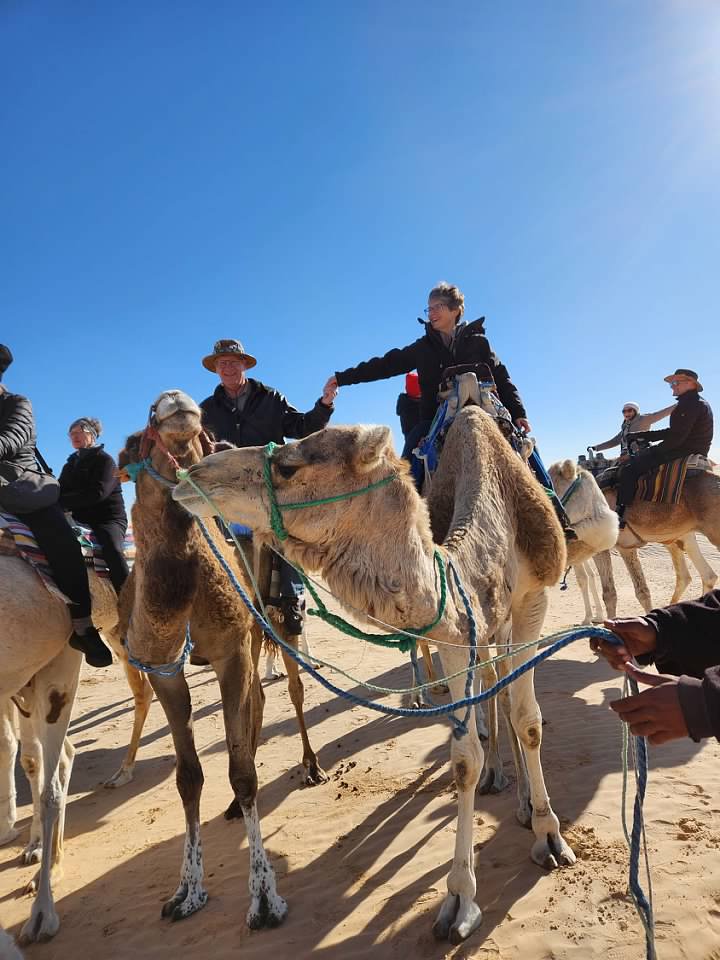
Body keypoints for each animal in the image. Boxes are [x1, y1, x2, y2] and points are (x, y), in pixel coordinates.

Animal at [116, 390, 298, 931]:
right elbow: (188, 777)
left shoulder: (231, 649)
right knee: (257, 702)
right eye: (133, 440)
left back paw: (311, 768)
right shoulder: (164, 671)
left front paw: (264, 897)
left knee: (282, 691)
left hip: (269, 623)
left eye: (202, 435)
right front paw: (187, 891)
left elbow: (241, 772)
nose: (173, 400)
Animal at [174, 406, 576, 944]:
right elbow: (464, 758)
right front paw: (460, 899)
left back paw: (527, 801)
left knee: (509, 695)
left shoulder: (533, 599)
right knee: (494, 692)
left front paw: (550, 836)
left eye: (289, 466)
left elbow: (529, 721)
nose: (192, 473)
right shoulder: (455, 631)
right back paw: (504, 781)